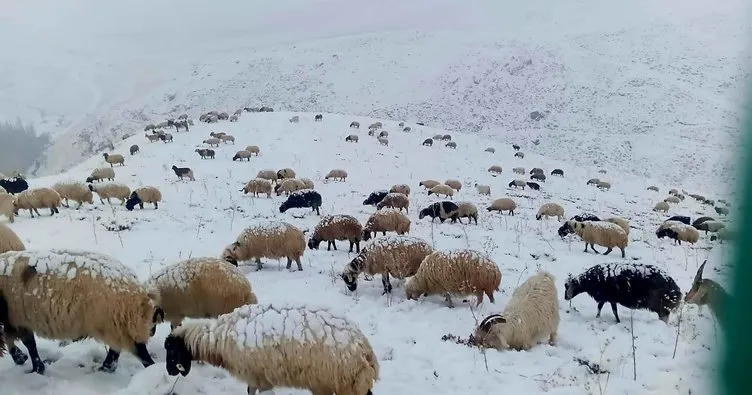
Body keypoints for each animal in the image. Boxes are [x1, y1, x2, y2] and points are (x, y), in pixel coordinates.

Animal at [0, 251, 163, 374]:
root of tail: (140, 294)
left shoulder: (18, 318)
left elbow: (28, 344)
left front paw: (34, 367)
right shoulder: (15, 319)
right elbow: (14, 339)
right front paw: (21, 358)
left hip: (115, 322)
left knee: (139, 352)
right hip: (117, 324)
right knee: (118, 349)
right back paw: (106, 368)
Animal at [162, 304, 378, 395]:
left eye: (171, 351)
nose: (170, 372)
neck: (217, 340)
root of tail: (365, 350)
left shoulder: (258, 376)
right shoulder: (257, 378)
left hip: (343, 384)